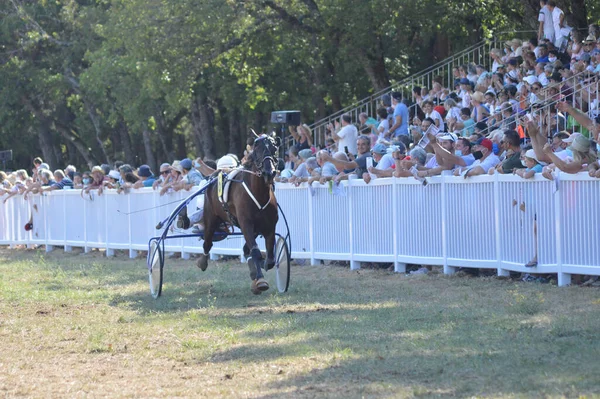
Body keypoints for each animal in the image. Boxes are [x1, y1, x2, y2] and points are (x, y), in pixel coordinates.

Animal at [198, 134, 280, 294]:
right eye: (258, 149)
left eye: (274, 148)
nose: (269, 173)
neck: (259, 193)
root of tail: (217, 173)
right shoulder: (246, 223)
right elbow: (255, 252)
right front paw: (260, 280)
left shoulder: (269, 227)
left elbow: (270, 259)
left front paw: (261, 271)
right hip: (211, 218)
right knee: (207, 243)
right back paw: (202, 262)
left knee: (245, 250)